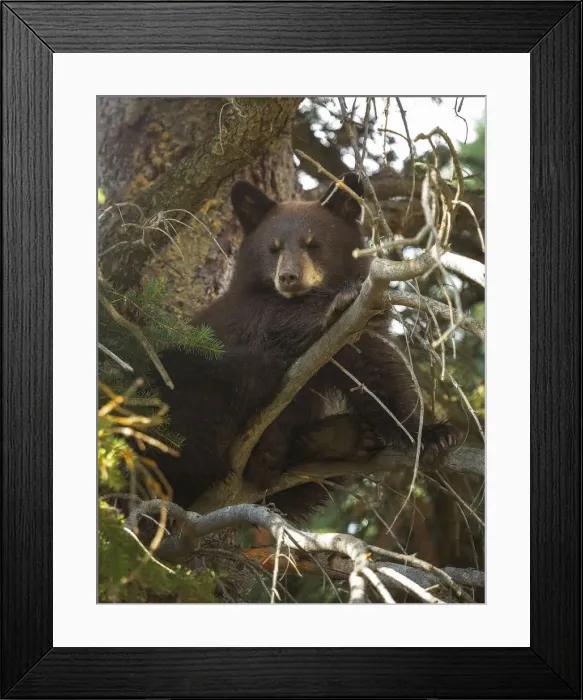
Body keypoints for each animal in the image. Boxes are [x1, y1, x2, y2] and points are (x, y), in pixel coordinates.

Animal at [152, 172, 458, 521]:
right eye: (274, 248)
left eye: (313, 243)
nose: (288, 277)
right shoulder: (249, 314)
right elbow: (279, 319)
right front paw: (339, 300)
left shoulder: (355, 337)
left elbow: (381, 376)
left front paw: (431, 435)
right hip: (181, 381)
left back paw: (341, 438)